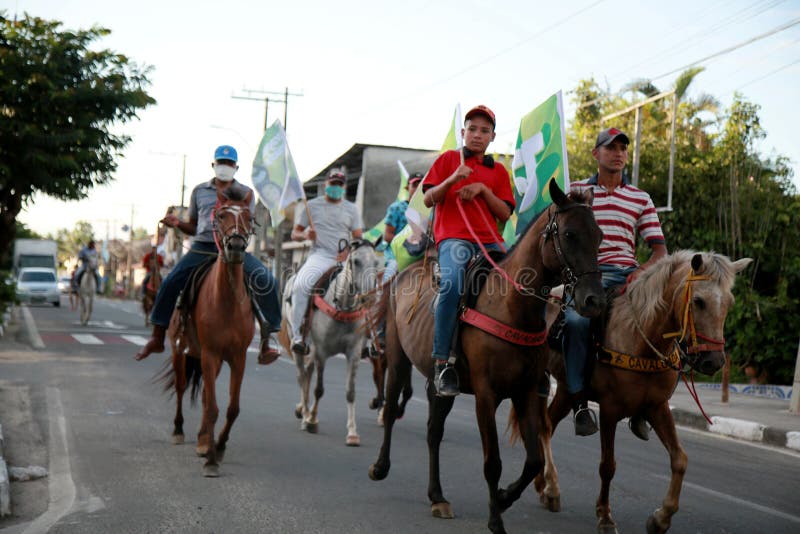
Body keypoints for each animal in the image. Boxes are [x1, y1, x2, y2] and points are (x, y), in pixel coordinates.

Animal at [159, 184, 253, 478]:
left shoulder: (238, 357)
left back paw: (202, 441)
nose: (235, 247)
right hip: (181, 350)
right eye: (221, 215)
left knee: (202, 396)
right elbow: (212, 407)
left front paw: (218, 447)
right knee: (181, 388)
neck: (228, 300)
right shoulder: (210, 353)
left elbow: (232, 408)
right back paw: (179, 431)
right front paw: (211, 460)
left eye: (249, 217)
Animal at [280, 241, 382, 446]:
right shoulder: (322, 351)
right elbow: (319, 389)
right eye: (356, 261)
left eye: (376, 262)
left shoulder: (354, 353)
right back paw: (305, 413)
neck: (342, 308)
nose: (369, 298)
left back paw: (303, 410)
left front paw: (352, 433)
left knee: (308, 373)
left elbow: (350, 392)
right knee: (301, 375)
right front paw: (311, 420)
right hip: (297, 342)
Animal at [368, 181, 608, 534]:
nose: (594, 300)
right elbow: (492, 461)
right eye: (569, 234)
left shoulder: (526, 392)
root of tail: (405, 272)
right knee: (390, 407)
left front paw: (506, 497)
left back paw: (437, 496)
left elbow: (533, 459)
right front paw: (496, 518)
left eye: (600, 235)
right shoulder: (486, 395)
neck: (511, 306)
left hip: (439, 385)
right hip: (398, 358)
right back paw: (380, 466)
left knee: (433, 431)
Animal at [532, 252, 752, 534]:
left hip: (564, 391)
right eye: (699, 301)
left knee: (546, 425)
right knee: (545, 427)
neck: (641, 337)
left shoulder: (657, 407)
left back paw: (544, 486)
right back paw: (551, 486)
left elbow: (680, 459)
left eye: (729, 303)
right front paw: (605, 516)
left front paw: (661, 518)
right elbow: (608, 465)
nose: (713, 361)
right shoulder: (610, 409)